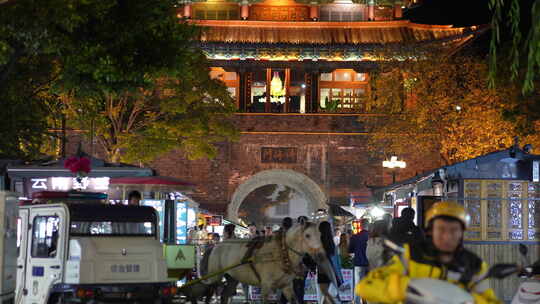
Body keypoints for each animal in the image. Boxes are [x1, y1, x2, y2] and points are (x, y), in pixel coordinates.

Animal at [202, 221, 338, 304]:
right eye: (307, 235)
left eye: (320, 234)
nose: (320, 254)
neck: (281, 252)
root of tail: (216, 245)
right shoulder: (266, 285)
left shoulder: (286, 285)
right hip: (215, 275)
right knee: (210, 291)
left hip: (232, 277)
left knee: (225, 295)